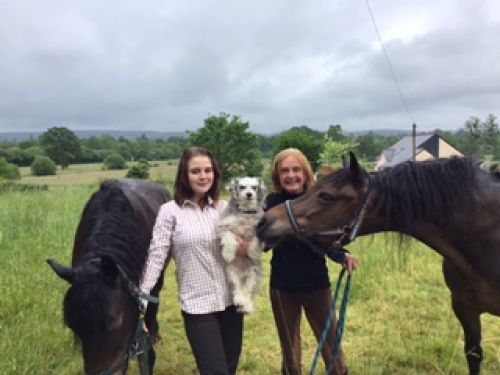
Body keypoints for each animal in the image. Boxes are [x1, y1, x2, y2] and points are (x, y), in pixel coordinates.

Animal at [217, 176, 268, 314]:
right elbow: (228, 236)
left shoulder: (260, 228)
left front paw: (253, 252)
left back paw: (247, 306)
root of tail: (242, 274)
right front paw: (228, 254)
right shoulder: (224, 226)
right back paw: (240, 300)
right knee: (238, 289)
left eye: (254, 188)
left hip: (253, 275)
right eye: (242, 187)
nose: (249, 194)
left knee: (248, 291)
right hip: (231, 274)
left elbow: (255, 238)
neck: (245, 212)